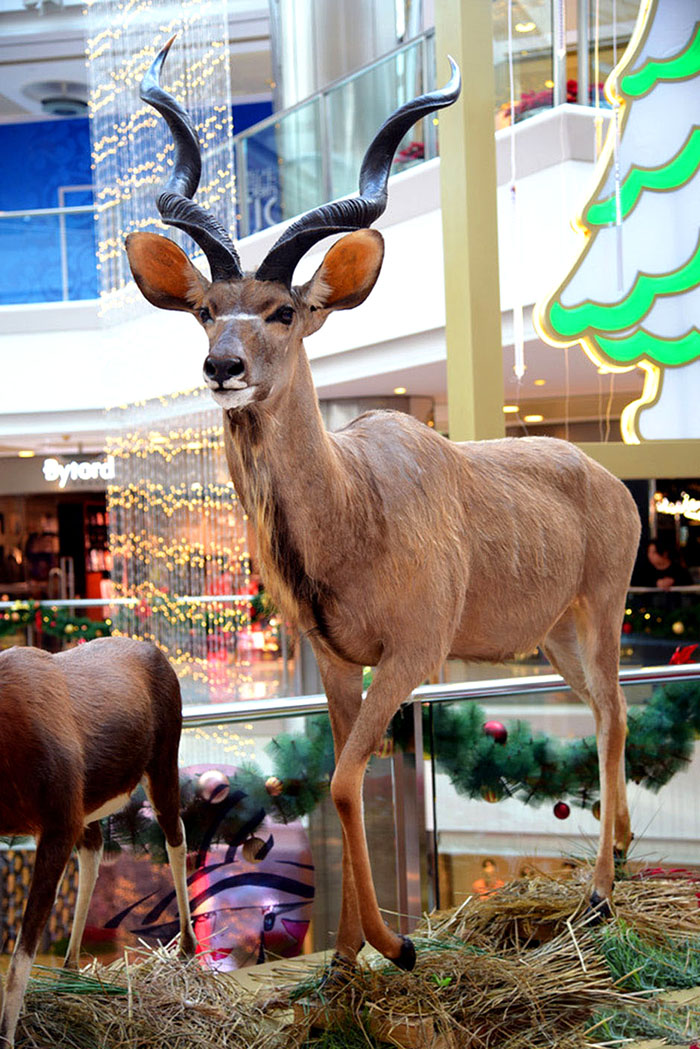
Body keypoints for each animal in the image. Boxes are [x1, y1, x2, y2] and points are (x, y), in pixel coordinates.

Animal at [0, 633, 196, 1044]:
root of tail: (156, 654)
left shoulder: (57, 824)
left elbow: (21, 954)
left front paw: (6, 1035)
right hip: (87, 809)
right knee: (93, 854)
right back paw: (70, 970)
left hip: (162, 766)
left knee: (176, 835)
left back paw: (186, 948)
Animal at [125, 38, 642, 973]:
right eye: (205, 311)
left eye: (282, 310)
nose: (222, 367)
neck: (352, 510)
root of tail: (610, 482)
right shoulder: (334, 658)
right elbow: (342, 776)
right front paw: (340, 961)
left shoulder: (412, 654)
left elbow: (337, 779)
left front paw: (394, 944)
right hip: (554, 634)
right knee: (596, 708)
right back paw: (615, 853)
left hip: (604, 604)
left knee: (617, 714)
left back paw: (597, 895)